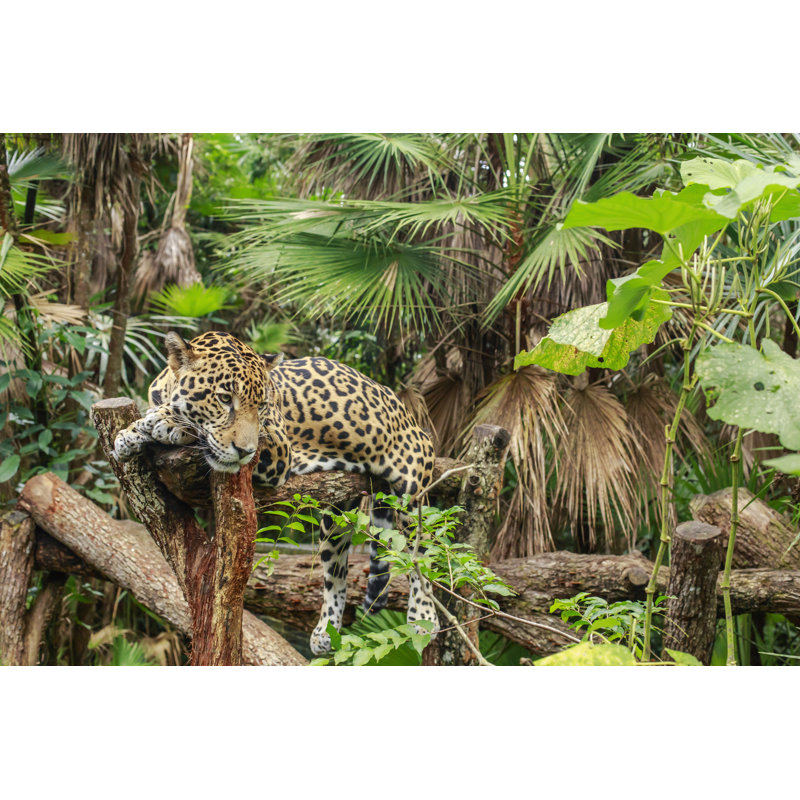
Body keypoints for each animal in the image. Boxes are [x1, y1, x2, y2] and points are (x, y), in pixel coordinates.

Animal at [113, 330, 439, 655]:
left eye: (261, 406)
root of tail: (406, 412)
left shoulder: (278, 448)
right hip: (337, 516)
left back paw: (424, 617)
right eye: (224, 398)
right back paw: (326, 631)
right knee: (336, 574)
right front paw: (128, 436)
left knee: (420, 554)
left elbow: (193, 427)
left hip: (413, 489)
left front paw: (165, 421)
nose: (245, 451)